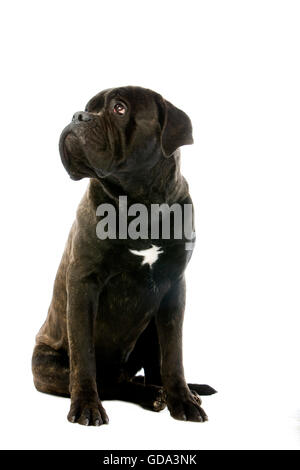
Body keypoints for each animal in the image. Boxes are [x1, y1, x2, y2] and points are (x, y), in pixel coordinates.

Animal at [31, 85, 216, 426]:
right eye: (89, 107)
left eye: (119, 108)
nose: (78, 116)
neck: (141, 203)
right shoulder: (83, 285)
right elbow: (84, 358)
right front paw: (86, 406)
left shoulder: (174, 286)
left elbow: (174, 355)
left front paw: (183, 401)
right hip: (48, 364)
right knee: (110, 382)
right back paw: (149, 395)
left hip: (148, 332)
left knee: (150, 371)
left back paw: (171, 392)